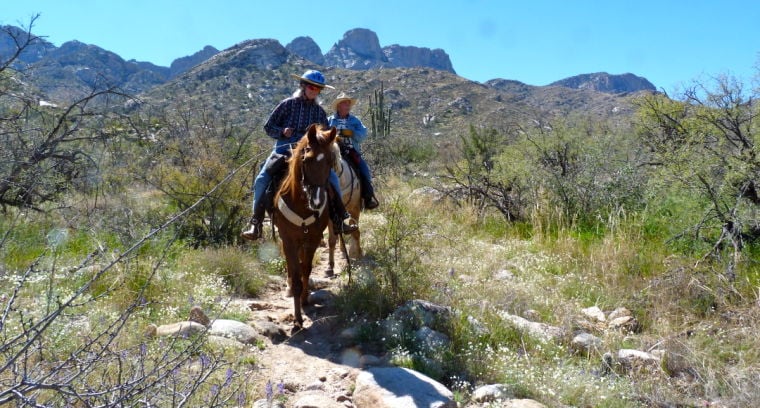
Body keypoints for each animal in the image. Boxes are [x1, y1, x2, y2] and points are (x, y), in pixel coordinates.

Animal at [270, 122, 336, 330]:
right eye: (306, 159)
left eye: (330, 161)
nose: (317, 201)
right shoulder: (288, 240)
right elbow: (297, 274)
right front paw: (297, 321)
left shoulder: (313, 239)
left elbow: (306, 269)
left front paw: (305, 299)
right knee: (292, 267)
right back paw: (290, 287)